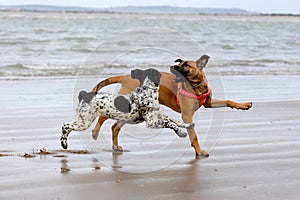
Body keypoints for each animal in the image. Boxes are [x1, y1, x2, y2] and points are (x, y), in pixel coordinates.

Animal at [60, 68, 195, 149]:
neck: (147, 92)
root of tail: (84, 94)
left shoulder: (158, 116)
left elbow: (174, 121)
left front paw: (186, 127)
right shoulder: (152, 122)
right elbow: (170, 123)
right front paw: (181, 132)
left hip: (83, 120)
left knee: (68, 127)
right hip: (84, 121)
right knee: (65, 126)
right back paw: (63, 143)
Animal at [90, 55, 252, 158]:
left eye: (186, 65)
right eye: (179, 64)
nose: (172, 66)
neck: (196, 88)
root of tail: (125, 77)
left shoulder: (209, 103)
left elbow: (228, 101)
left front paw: (243, 105)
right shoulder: (187, 115)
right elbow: (194, 136)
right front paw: (199, 151)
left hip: (132, 113)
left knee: (114, 127)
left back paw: (115, 146)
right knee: (103, 116)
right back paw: (95, 132)